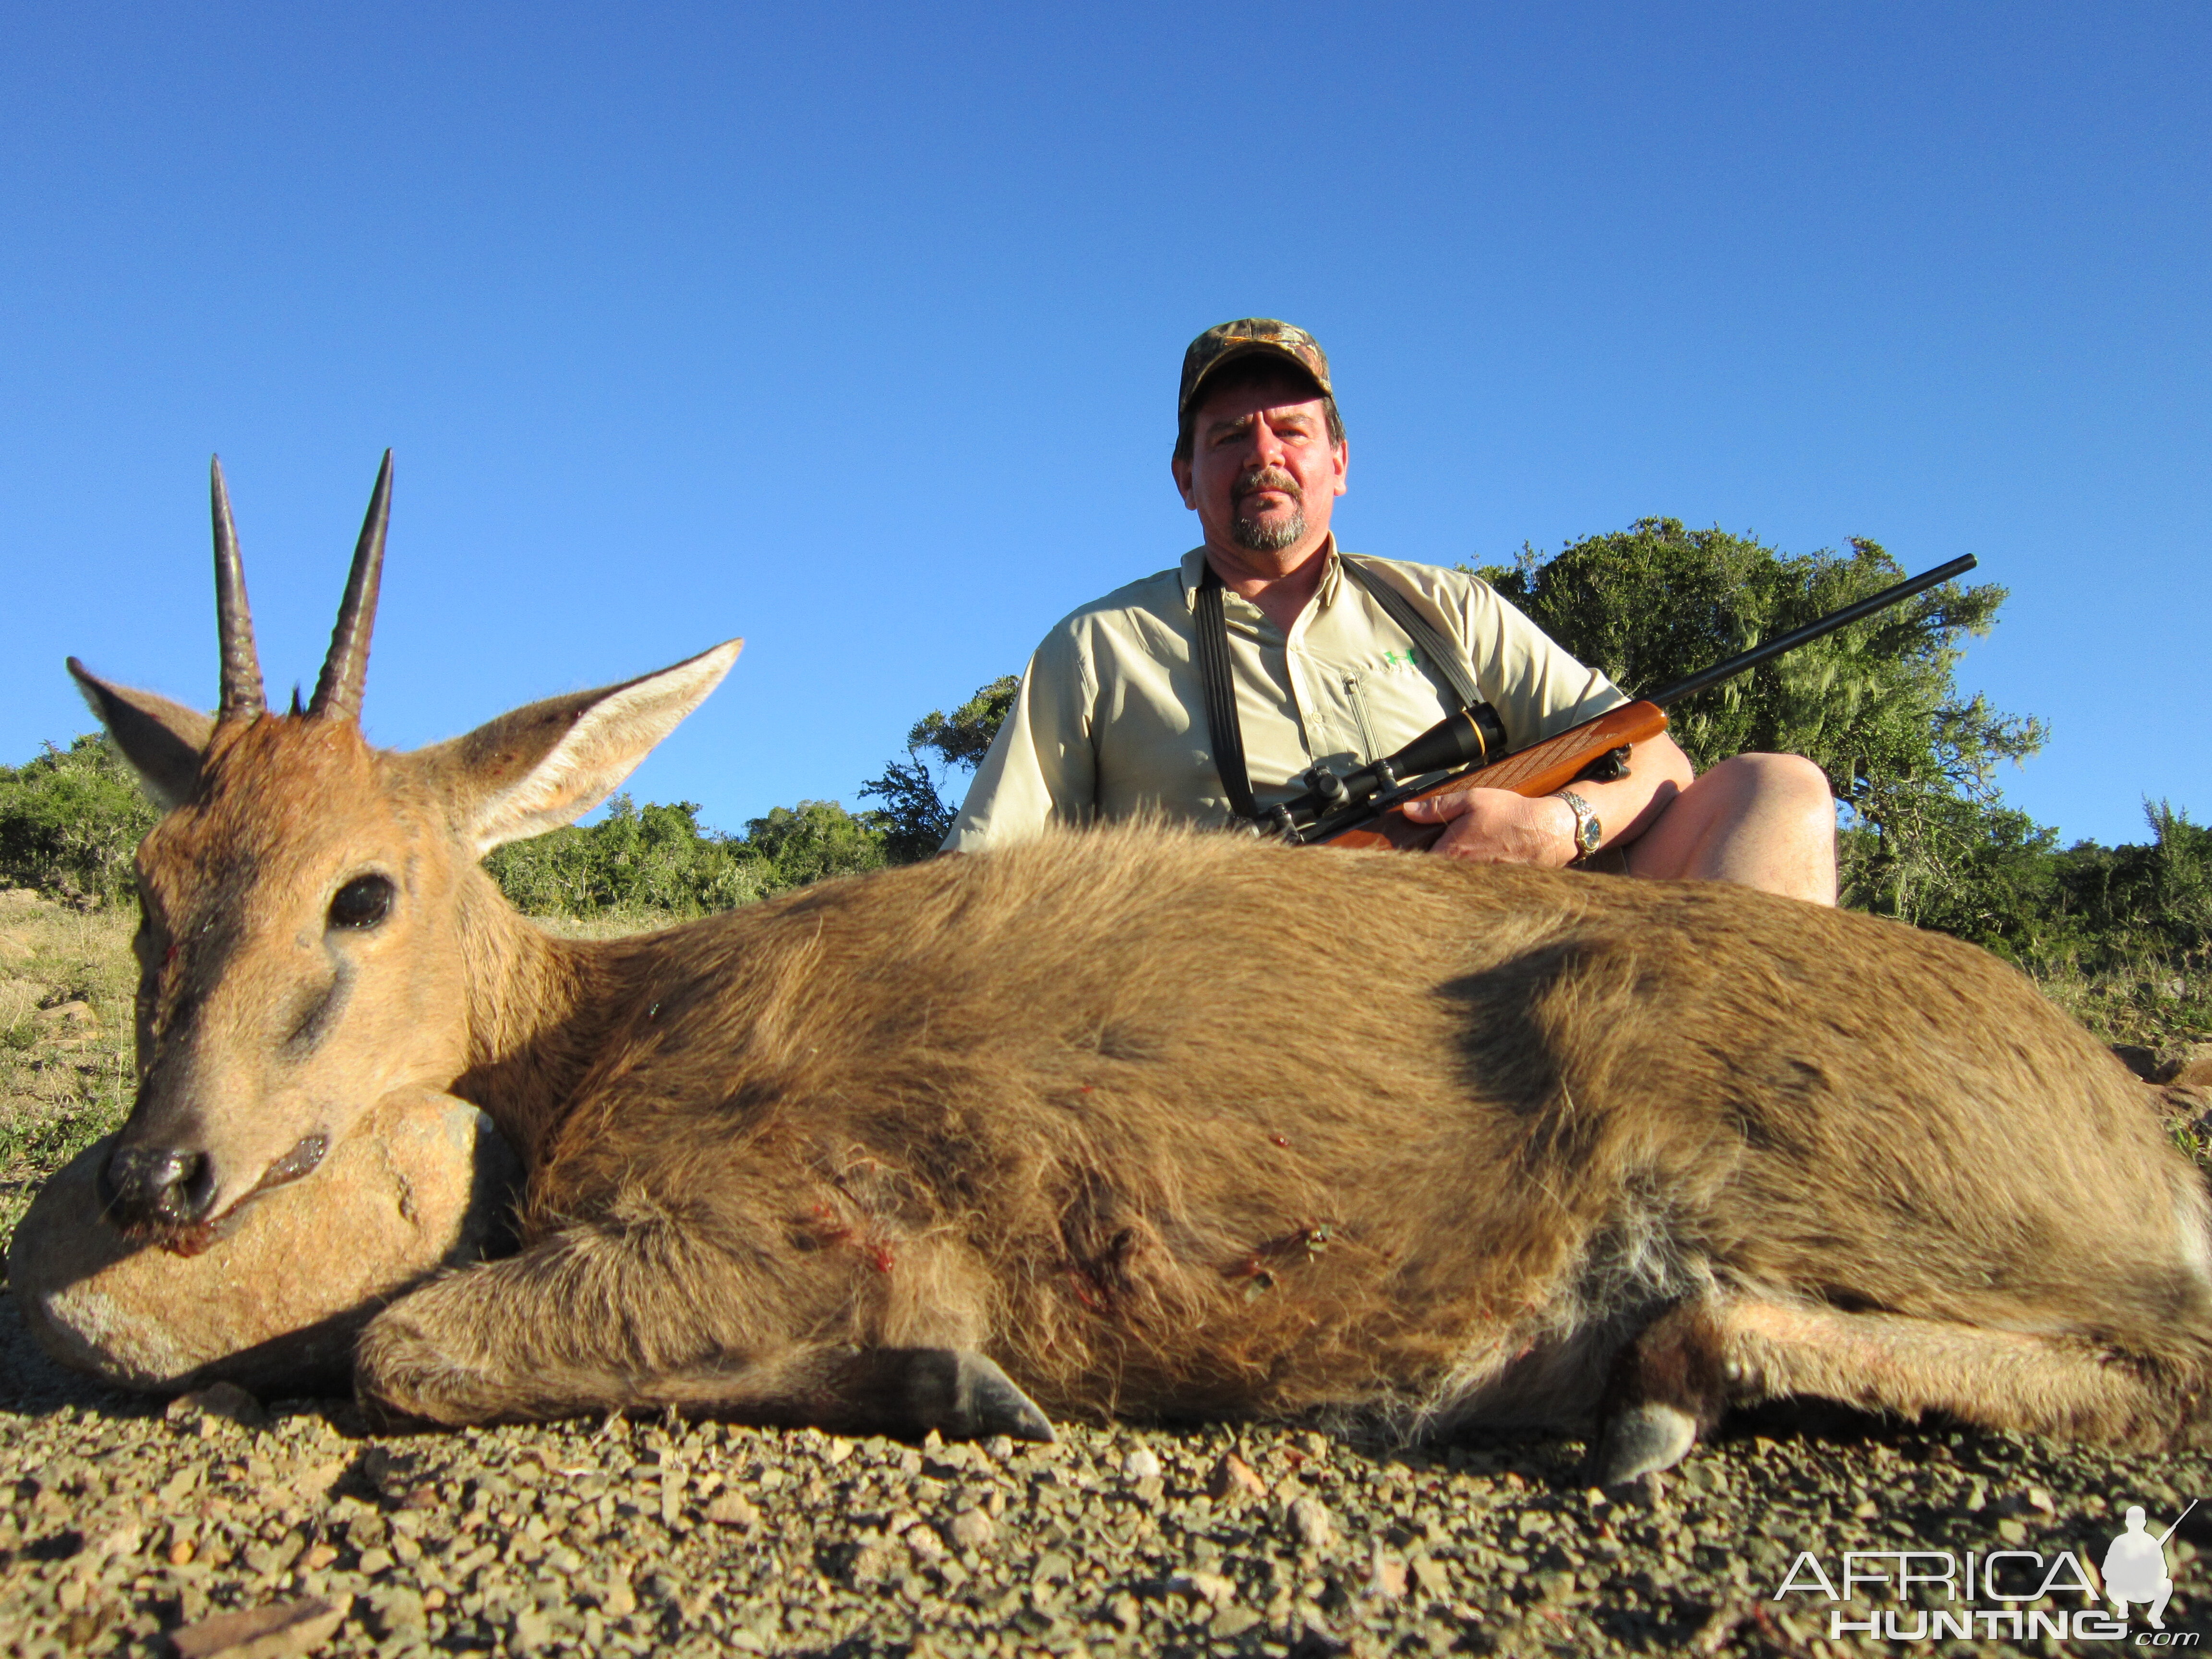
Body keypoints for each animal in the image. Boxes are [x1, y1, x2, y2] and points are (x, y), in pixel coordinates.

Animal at [69, 462, 2212, 1486]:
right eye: (156, 885)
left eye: (363, 891)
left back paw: (1646, 1383)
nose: (157, 1174)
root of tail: (2117, 1120)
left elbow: (401, 1343)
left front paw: (949, 1370)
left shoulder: (773, 1215)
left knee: (2161, 1363)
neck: (612, 1023)